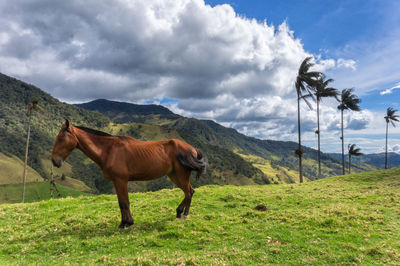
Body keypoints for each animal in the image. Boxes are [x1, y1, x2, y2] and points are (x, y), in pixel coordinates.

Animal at [50, 119, 206, 228]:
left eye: (61, 138)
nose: (54, 161)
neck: (109, 150)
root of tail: (191, 148)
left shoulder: (121, 180)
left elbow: (124, 202)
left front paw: (127, 223)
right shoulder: (117, 182)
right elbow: (121, 202)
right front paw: (124, 222)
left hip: (181, 175)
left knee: (188, 192)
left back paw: (184, 214)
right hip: (174, 175)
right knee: (190, 191)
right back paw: (179, 212)